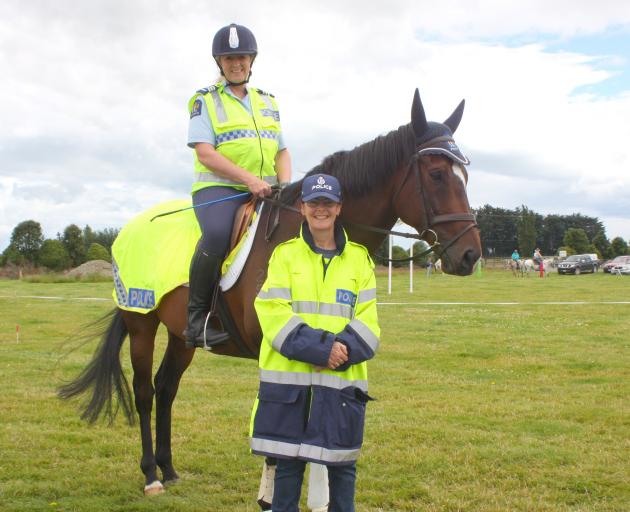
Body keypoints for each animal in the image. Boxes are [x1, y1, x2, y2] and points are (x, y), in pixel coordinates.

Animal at [60, 89, 484, 500]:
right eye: (436, 174)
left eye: (465, 174)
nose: (470, 254)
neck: (311, 237)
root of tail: (130, 228)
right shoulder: (279, 348)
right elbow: (279, 432)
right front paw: (271, 496)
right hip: (141, 324)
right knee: (145, 392)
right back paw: (151, 474)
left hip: (182, 335)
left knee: (166, 389)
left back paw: (169, 468)